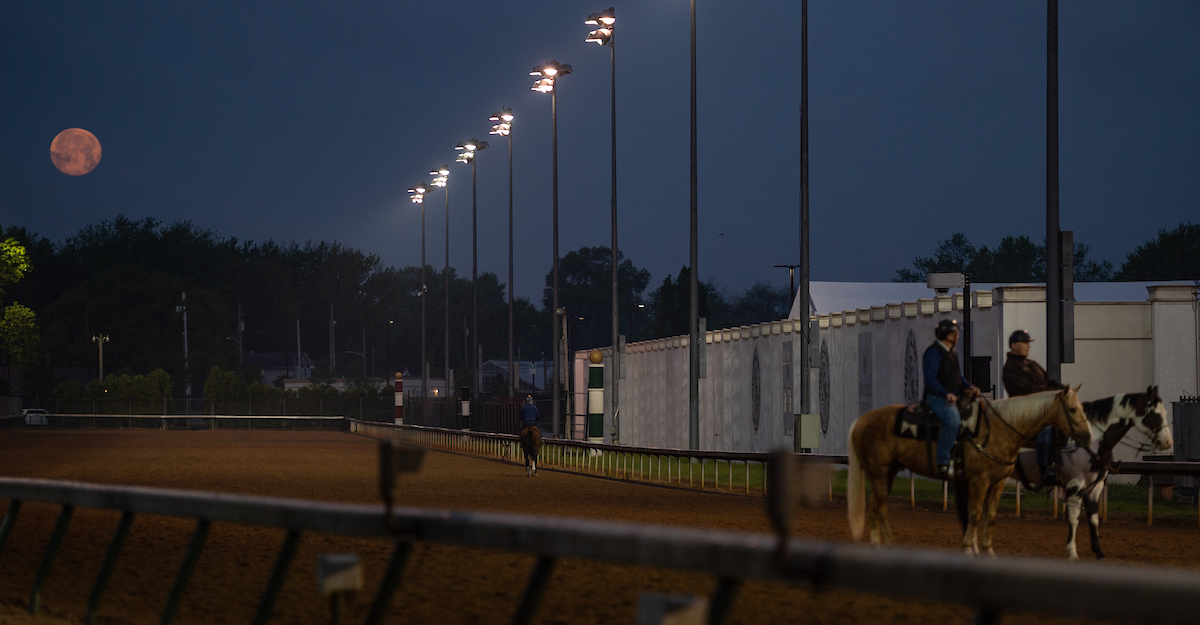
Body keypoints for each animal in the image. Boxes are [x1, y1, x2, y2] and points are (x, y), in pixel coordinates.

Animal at [849, 386, 1094, 554]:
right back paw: (889, 545)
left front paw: (987, 551)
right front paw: (968, 547)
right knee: (880, 507)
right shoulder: (979, 480)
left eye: (1083, 408)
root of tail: (860, 421)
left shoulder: (997, 483)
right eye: (1072, 409)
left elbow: (990, 516)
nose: (1087, 436)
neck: (998, 429)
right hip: (880, 472)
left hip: (887, 472)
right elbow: (974, 513)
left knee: (874, 505)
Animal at [1012, 383, 1171, 561]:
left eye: (1165, 413)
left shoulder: (1095, 488)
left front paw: (1098, 552)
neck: (1090, 440)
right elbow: (1074, 519)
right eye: (1154, 415)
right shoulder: (1075, 486)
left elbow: (1094, 519)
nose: (1167, 442)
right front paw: (1072, 552)